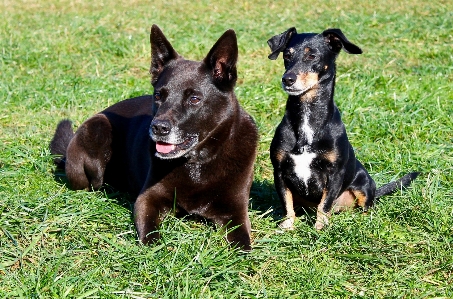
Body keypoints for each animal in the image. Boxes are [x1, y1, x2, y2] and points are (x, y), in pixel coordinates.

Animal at [50, 25, 256, 251]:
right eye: (158, 96)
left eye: (194, 99)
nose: (157, 127)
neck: (198, 162)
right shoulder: (147, 199)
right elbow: (150, 235)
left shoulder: (236, 211)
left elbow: (244, 245)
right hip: (98, 129)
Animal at [266, 27, 418, 230]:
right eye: (287, 55)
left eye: (312, 56)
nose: (287, 79)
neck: (308, 118)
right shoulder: (280, 171)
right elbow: (287, 203)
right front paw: (288, 226)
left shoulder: (334, 174)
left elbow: (324, 204)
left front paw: (320, 228)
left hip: (364, 183)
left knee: (367, 206)